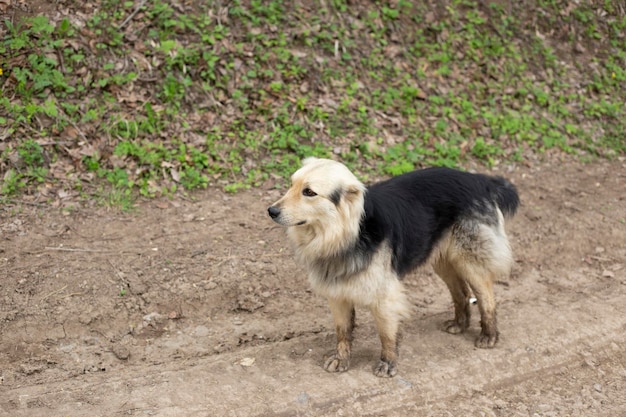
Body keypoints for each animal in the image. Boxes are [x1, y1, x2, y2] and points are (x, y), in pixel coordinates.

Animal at [266, 157, 516, 376]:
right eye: (291, 184)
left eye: (309, 192)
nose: (271, 211)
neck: (347, 234)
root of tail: (479, 180)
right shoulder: (337, 295)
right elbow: (342, 332)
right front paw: (342, 359)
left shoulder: (384, 296)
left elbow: (386, 334)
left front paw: (387, 363)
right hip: (442, 259)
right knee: (461, 292)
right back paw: (459, 324)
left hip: (469, 260)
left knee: (486, 297)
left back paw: (489, 335)